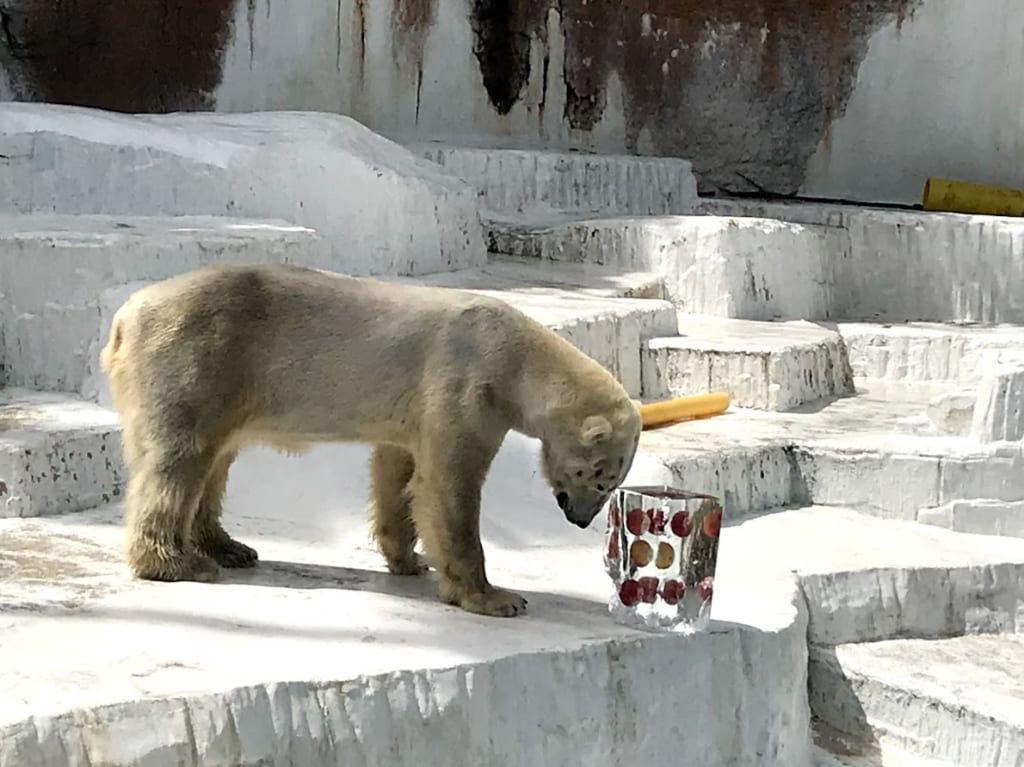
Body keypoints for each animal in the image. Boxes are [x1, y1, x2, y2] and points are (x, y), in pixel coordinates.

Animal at [97, 264, 638, 614]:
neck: (517, 356)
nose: (580, 519)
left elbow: (398, 471)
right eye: (601, 478)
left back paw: (228, 548)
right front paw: (493, 596)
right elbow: (450, 483)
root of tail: (124, 317)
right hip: (197, 356)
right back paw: (176, 562)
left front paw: (410, 559)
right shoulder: (467, 383)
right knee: (179, 458)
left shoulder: (417, 411)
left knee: (216, 458)